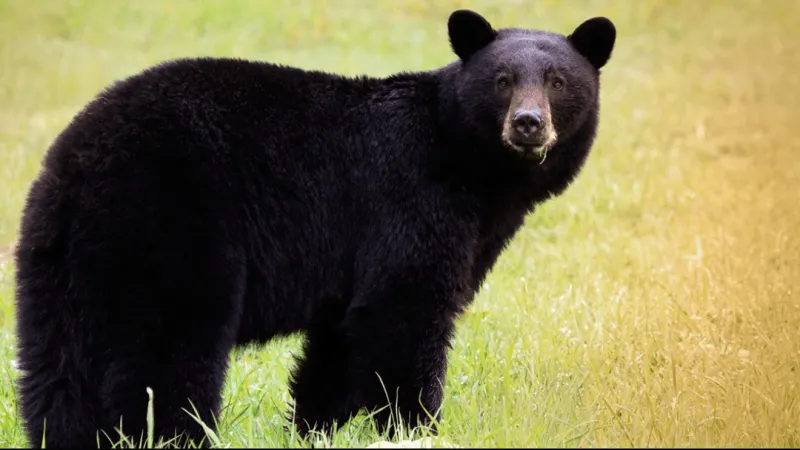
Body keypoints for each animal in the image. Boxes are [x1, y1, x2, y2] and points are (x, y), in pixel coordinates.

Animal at [13, 9, 616, 449]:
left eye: (558, 81)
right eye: (502, 80)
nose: (528, 124)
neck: (469, 165)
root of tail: (76, 165)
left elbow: (340, 341)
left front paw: (311, 429)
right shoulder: (411, 203)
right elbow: (404, 314)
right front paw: (416, 429)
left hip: (60, 263)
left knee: (57, 367)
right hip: (171, 230)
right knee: (168, 357)